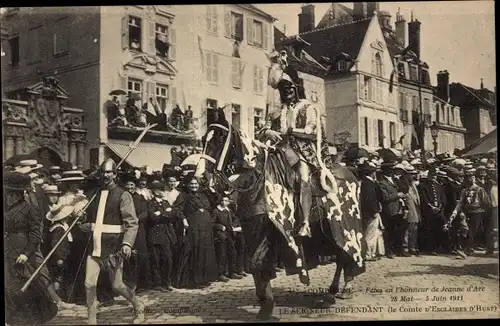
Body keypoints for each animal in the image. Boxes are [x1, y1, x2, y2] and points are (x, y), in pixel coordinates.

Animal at [195, 110, 368, 320]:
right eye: (205, 138)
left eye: (220, 139)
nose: (201, 177)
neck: (256, 179)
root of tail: (351, 172)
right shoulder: (251, 230)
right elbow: (257, 267)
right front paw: (264, 302)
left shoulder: (269, 232)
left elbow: (256, 264)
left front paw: (267, 304)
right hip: (326, 231)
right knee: (340, 255)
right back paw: (334, 289)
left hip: (344, 224)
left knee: (347, 252)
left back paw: (345, 287)